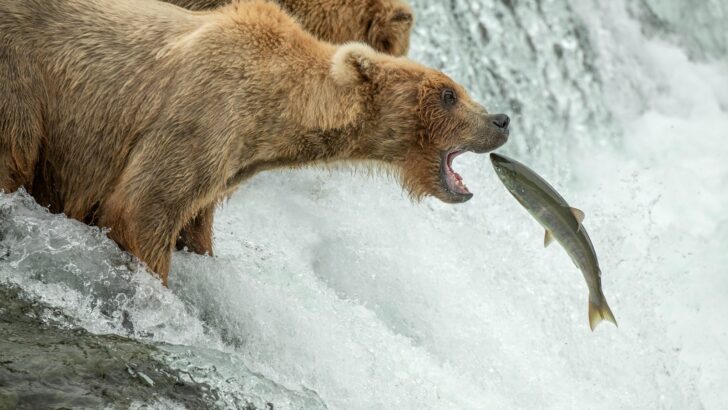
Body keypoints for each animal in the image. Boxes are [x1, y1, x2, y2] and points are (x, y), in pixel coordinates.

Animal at [0, 0, 510, 285]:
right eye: (448, 94)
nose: (501, 119)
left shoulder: (226, 163)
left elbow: (193, 223)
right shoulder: (203, 114)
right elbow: (141, 207)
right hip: (22, 84)